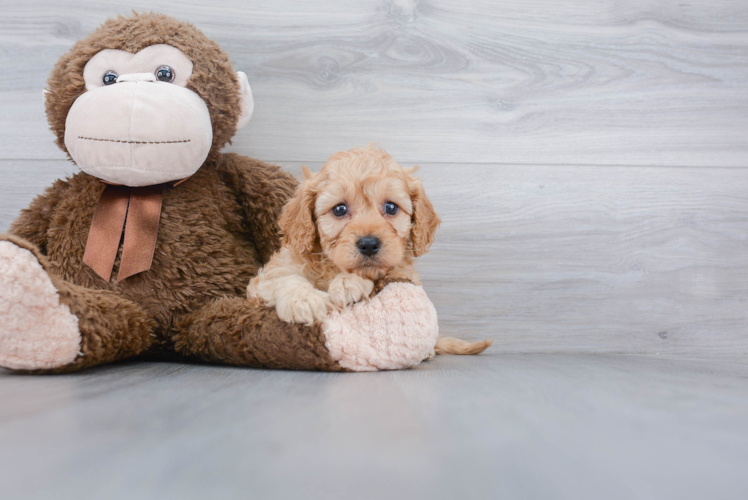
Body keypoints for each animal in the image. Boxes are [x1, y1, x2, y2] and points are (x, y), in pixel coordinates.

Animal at [250, 145, 490, 356]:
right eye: (339, 209)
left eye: (391, 207)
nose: (368, 244)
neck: (332, 267)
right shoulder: (264, 281)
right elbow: (283, 278)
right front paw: (304, 300)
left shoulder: (404, 275)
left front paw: (348, 283)